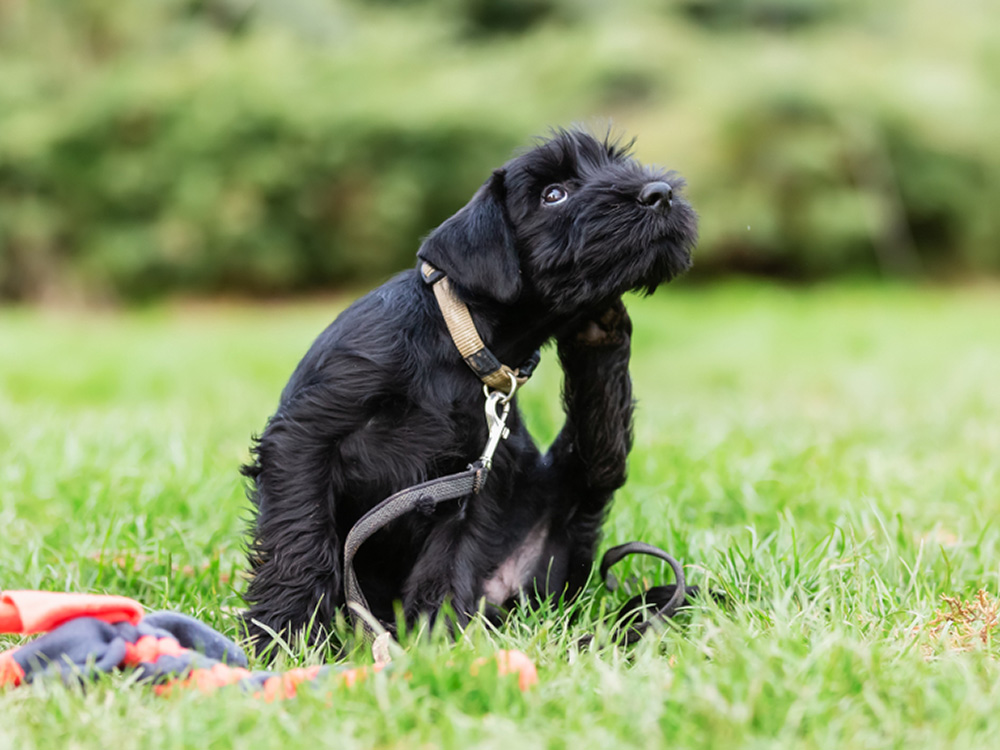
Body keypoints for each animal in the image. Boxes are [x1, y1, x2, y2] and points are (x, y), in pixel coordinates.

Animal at [241, 126, 696, 648]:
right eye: (553, 194)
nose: (659, 193)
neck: (458, 343)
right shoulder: (307, 435)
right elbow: (301, 535)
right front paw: (285, 633)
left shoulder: (479, 477)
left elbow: (449, 558)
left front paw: (432, 641)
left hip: (570, 500)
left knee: (602, 453)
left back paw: (600, 327)